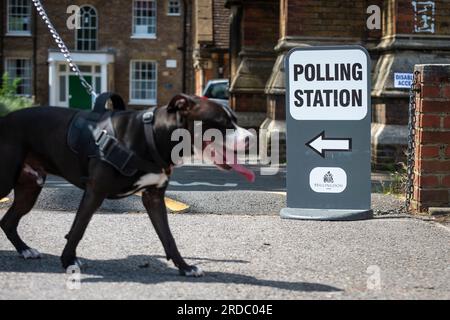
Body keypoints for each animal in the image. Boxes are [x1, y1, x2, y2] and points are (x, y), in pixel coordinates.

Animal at [0, 94, 253, 276]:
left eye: (236, 120)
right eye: (222, 123)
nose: (251, 137)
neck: (153, 136)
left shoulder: (154, 198)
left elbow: (168, 237)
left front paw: (185, 267)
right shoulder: (95, 192)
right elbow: (78, 229)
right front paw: (68, 260)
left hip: (30, 187)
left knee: (8, 221)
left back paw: (25, 250)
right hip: (6, 180)